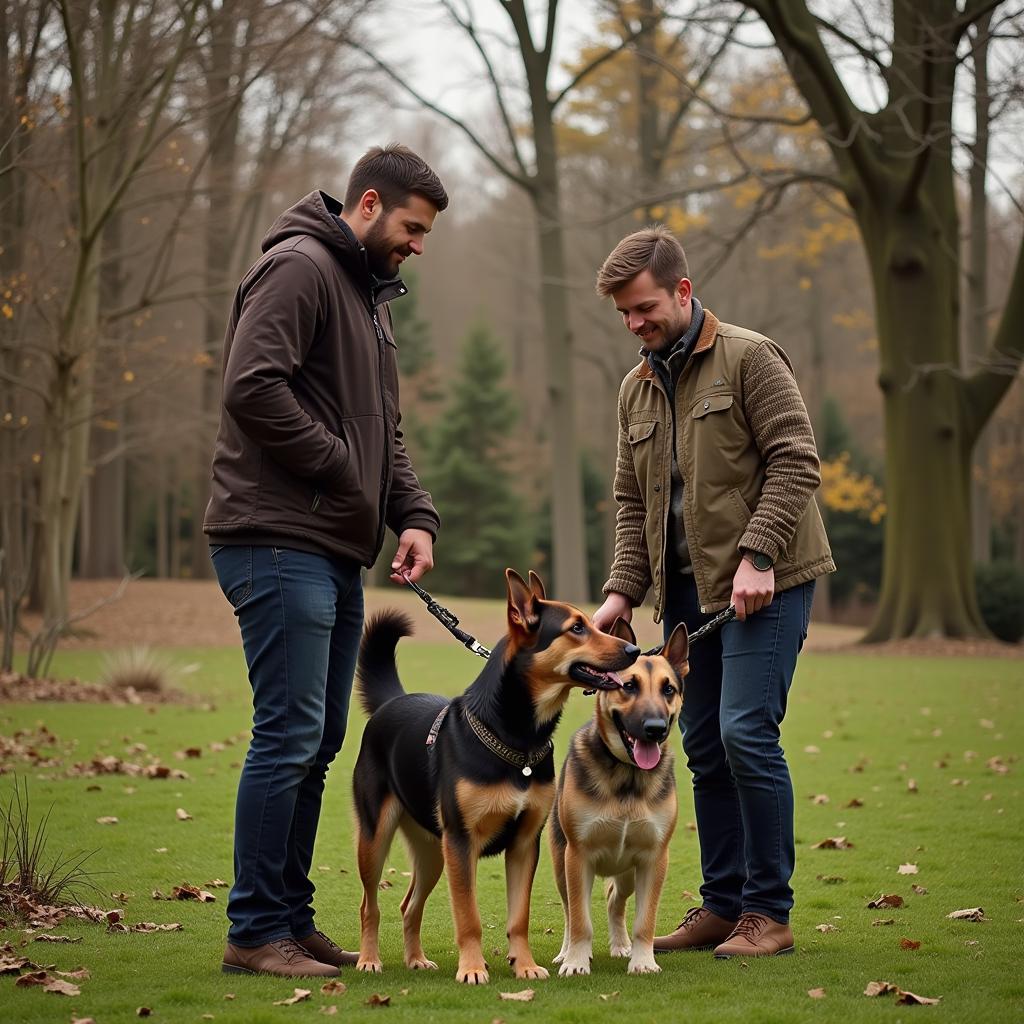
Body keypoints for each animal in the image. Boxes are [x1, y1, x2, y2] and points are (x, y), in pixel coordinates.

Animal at [352, 569, 638, 983]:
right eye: (576, 628)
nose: (633, 651)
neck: (516, 737)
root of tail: (393, 701)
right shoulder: (462, 842)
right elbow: (468, 916)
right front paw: (472, 968)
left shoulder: (524, 843)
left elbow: (519, 917)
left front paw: (526, 965)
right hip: (376, 838)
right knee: (369, 904)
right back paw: (368, 959)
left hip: (431, 849)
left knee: (409, 905)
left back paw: (415, 959)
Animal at [552, 614, 688, 974]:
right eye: (629, 686)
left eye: (668, 689)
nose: (655, 729)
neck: (628, 777)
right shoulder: (577, 856)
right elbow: (580, 919)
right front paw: (576, 962)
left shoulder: (653, 859)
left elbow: (645, 921)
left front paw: (643, 960)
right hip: (560, 862)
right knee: (570, 911)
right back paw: (566, 951)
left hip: (627, 871)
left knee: (615, 900)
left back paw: (621, 945)